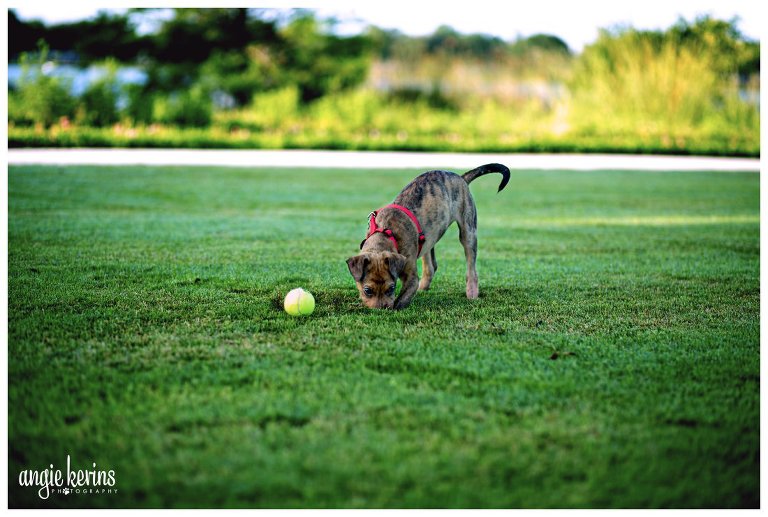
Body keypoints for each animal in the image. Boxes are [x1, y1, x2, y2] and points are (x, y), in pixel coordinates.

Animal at [348, 163, 510, 308]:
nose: (381, 309)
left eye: (391, 288)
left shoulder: (411, 277)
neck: (386, 232)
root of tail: (461, 177)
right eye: (367, 290)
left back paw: (471, 292)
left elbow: (400, 301)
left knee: (471, 266)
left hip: (468, 230)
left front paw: (394, 307)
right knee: (431, 265)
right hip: (428, 237)